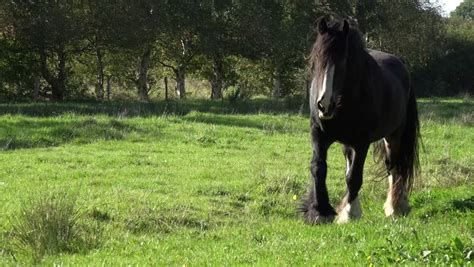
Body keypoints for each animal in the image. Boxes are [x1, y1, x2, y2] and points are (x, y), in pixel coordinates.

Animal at [302, 17, 420, 225]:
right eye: (317, 59)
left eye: (342, 61)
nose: (324, 105)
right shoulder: (319, 136)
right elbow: (319, 168)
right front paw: (320, 212)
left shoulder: (361, 142)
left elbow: (354, 177)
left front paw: (350, 213)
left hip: (394, 135)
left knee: (394, 165)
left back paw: (396, 206)